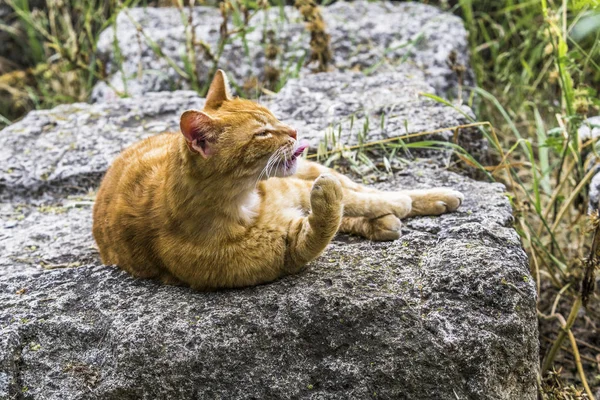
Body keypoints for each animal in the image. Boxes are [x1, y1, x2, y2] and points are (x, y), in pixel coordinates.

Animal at [92, 70, 464, 290]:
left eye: (273, 116)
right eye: (263, 133)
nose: (294, 131)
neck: (243, 203)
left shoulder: (295, 187)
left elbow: (361, 197)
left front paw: (398, 201)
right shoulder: (288, 253)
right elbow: (324, 226)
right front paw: (337, 203)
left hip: (305, 171)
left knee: (358, 187)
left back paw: (431, 198)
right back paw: (383, 222)